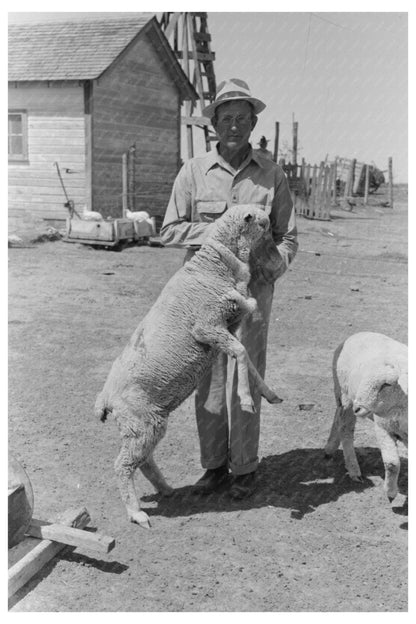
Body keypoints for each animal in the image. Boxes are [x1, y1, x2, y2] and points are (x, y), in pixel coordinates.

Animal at [94, 205, 282, 528]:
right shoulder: (206, 326)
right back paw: (136, 513)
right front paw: (246, 399)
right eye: (263, 222)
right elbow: (242, 349)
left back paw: (166, 490)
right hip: (141, 423)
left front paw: (266, 393)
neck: (212, 266)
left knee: (143, 461)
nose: (278, 261)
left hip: (146, 424)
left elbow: (245, 351)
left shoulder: (224, 327)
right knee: (123, 465)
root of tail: (105, 399)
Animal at [324, 332, 406, 502]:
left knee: (337, 416)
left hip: (343, 398)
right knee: (345, 428)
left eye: (386, 384)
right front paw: (390, 493)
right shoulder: (383, 428)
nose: (358, 407)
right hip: (345, 396)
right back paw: (354, 470)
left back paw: (330, 448)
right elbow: (392, 464)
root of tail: (357, 334)